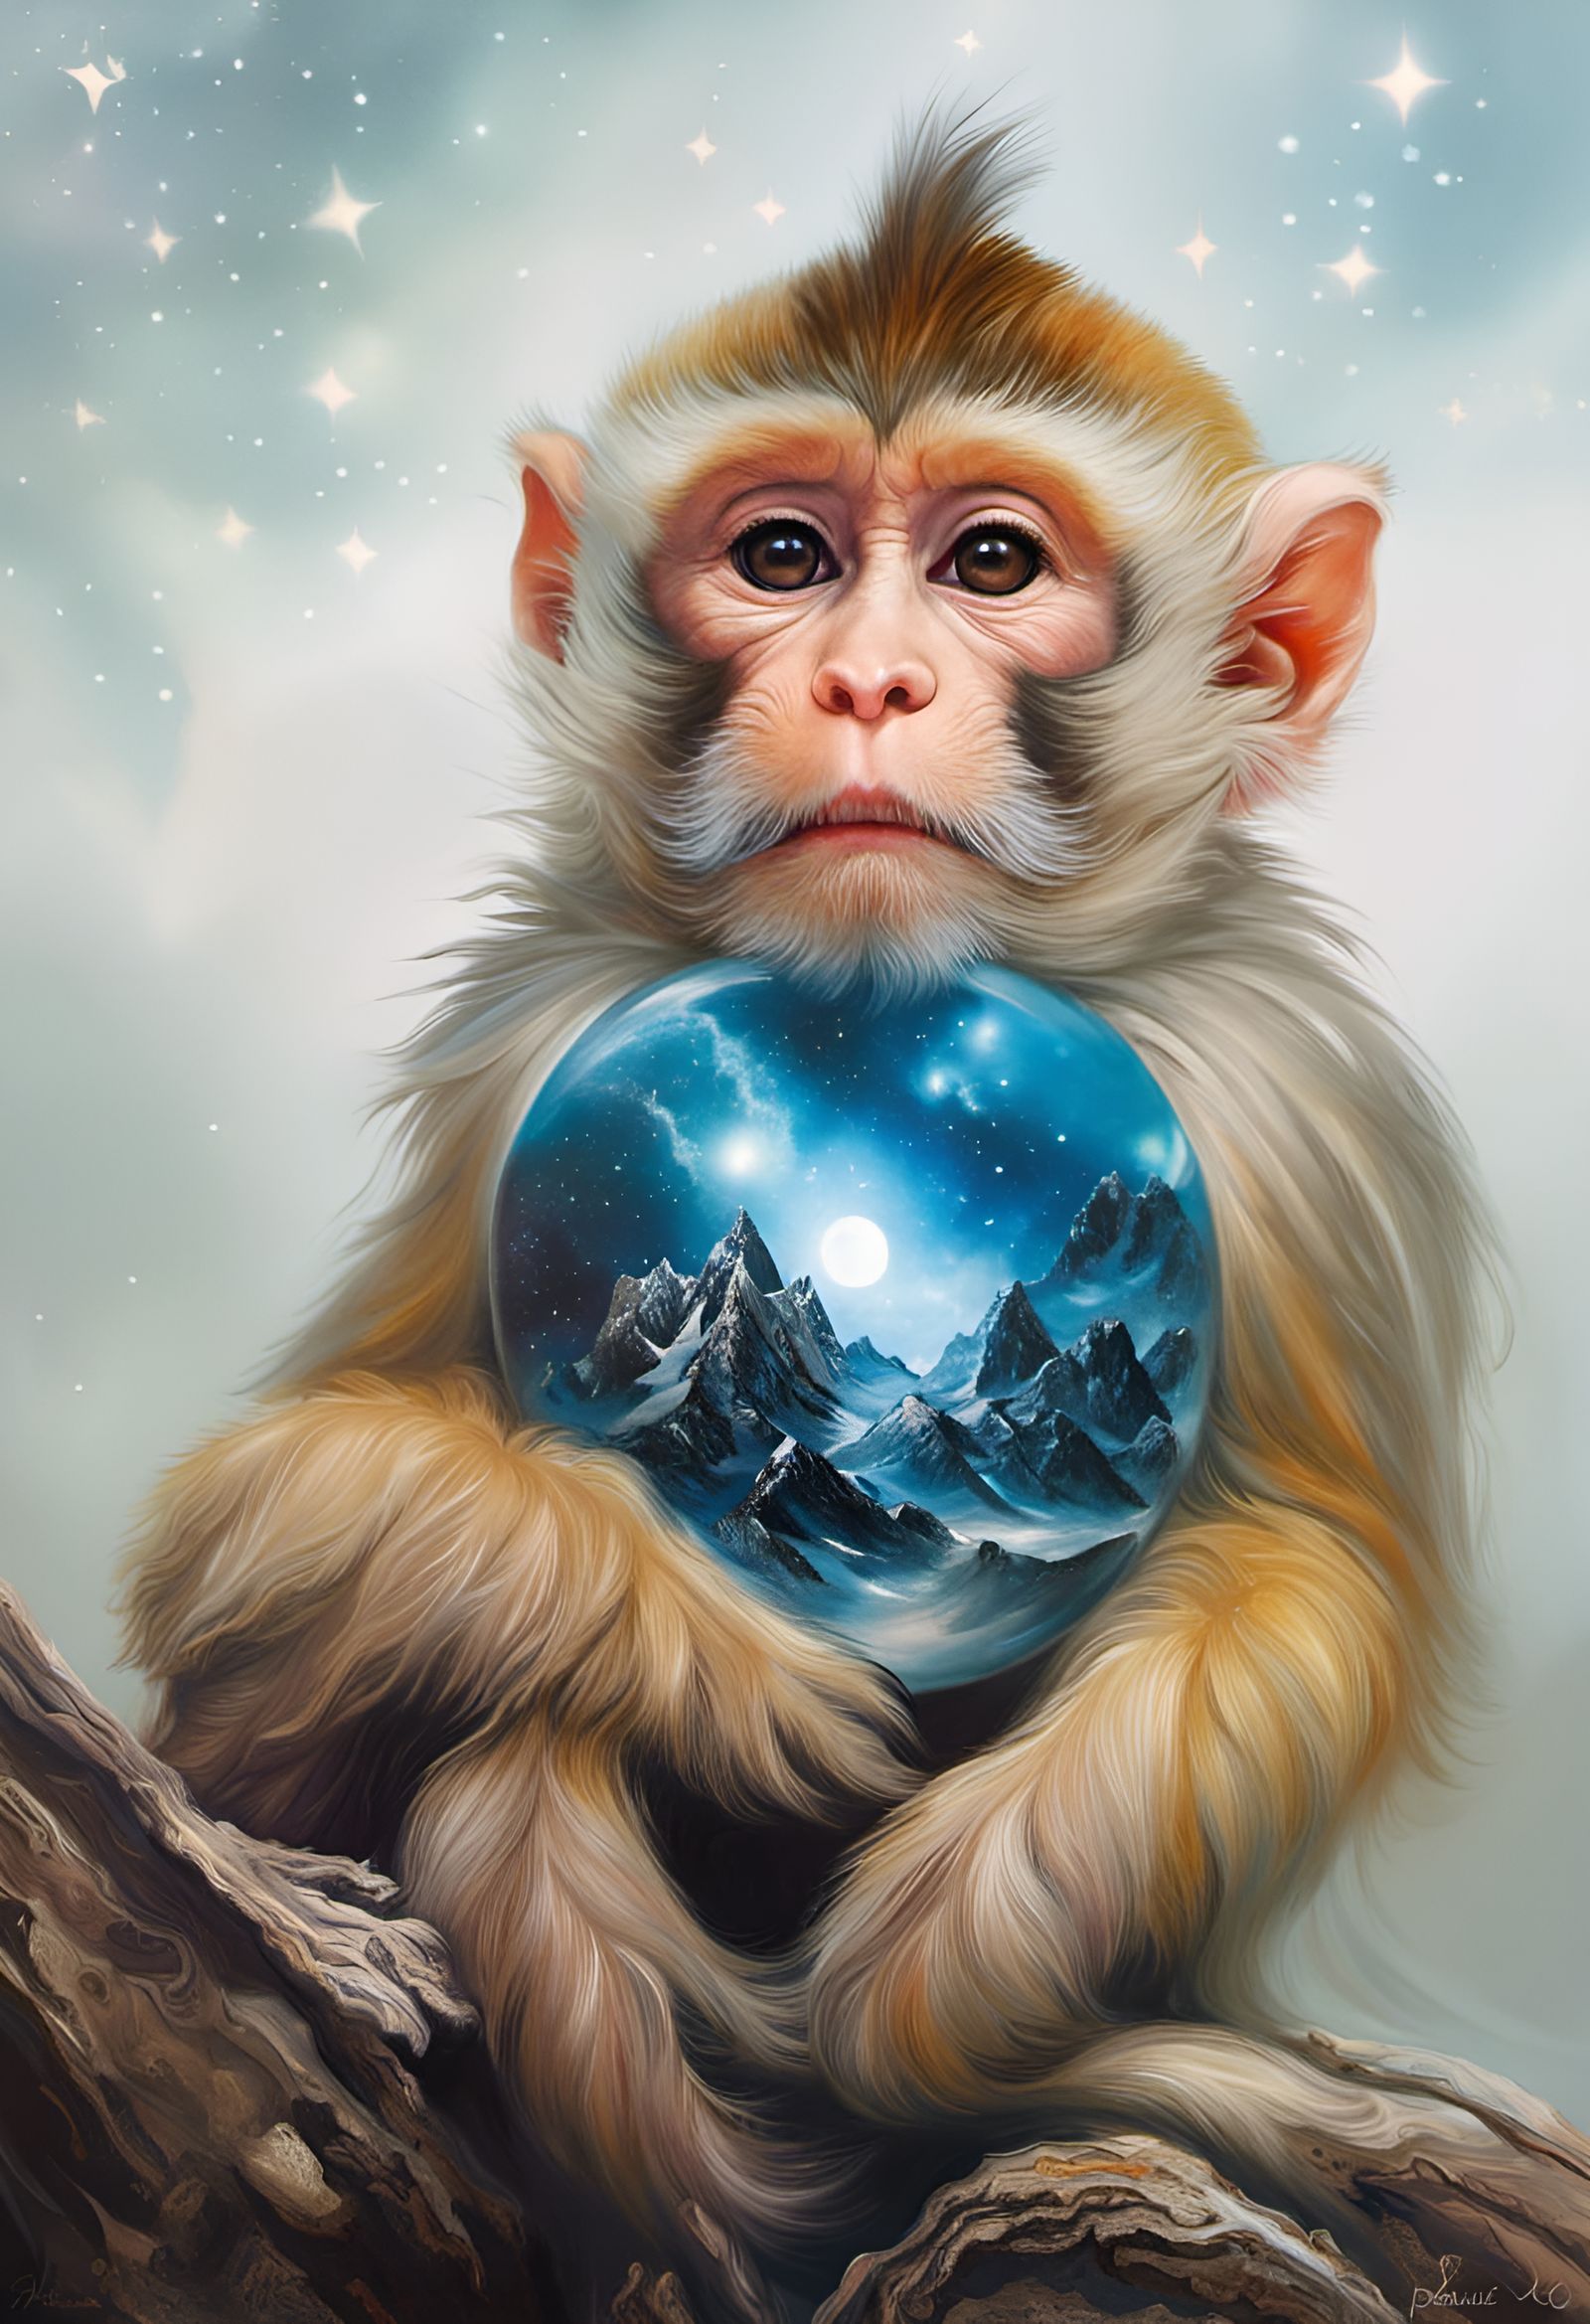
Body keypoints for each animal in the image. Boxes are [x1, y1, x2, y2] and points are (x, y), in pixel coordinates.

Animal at [119, 111, 1493, 2318]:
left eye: (993, 563)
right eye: (780, 555)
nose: (865, 677)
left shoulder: (1283, 1108)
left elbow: (1320, 1562)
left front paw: (954, 1955)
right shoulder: (529, 1043)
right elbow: (248, 1560)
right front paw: (707, 1639)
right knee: (513, 1751)